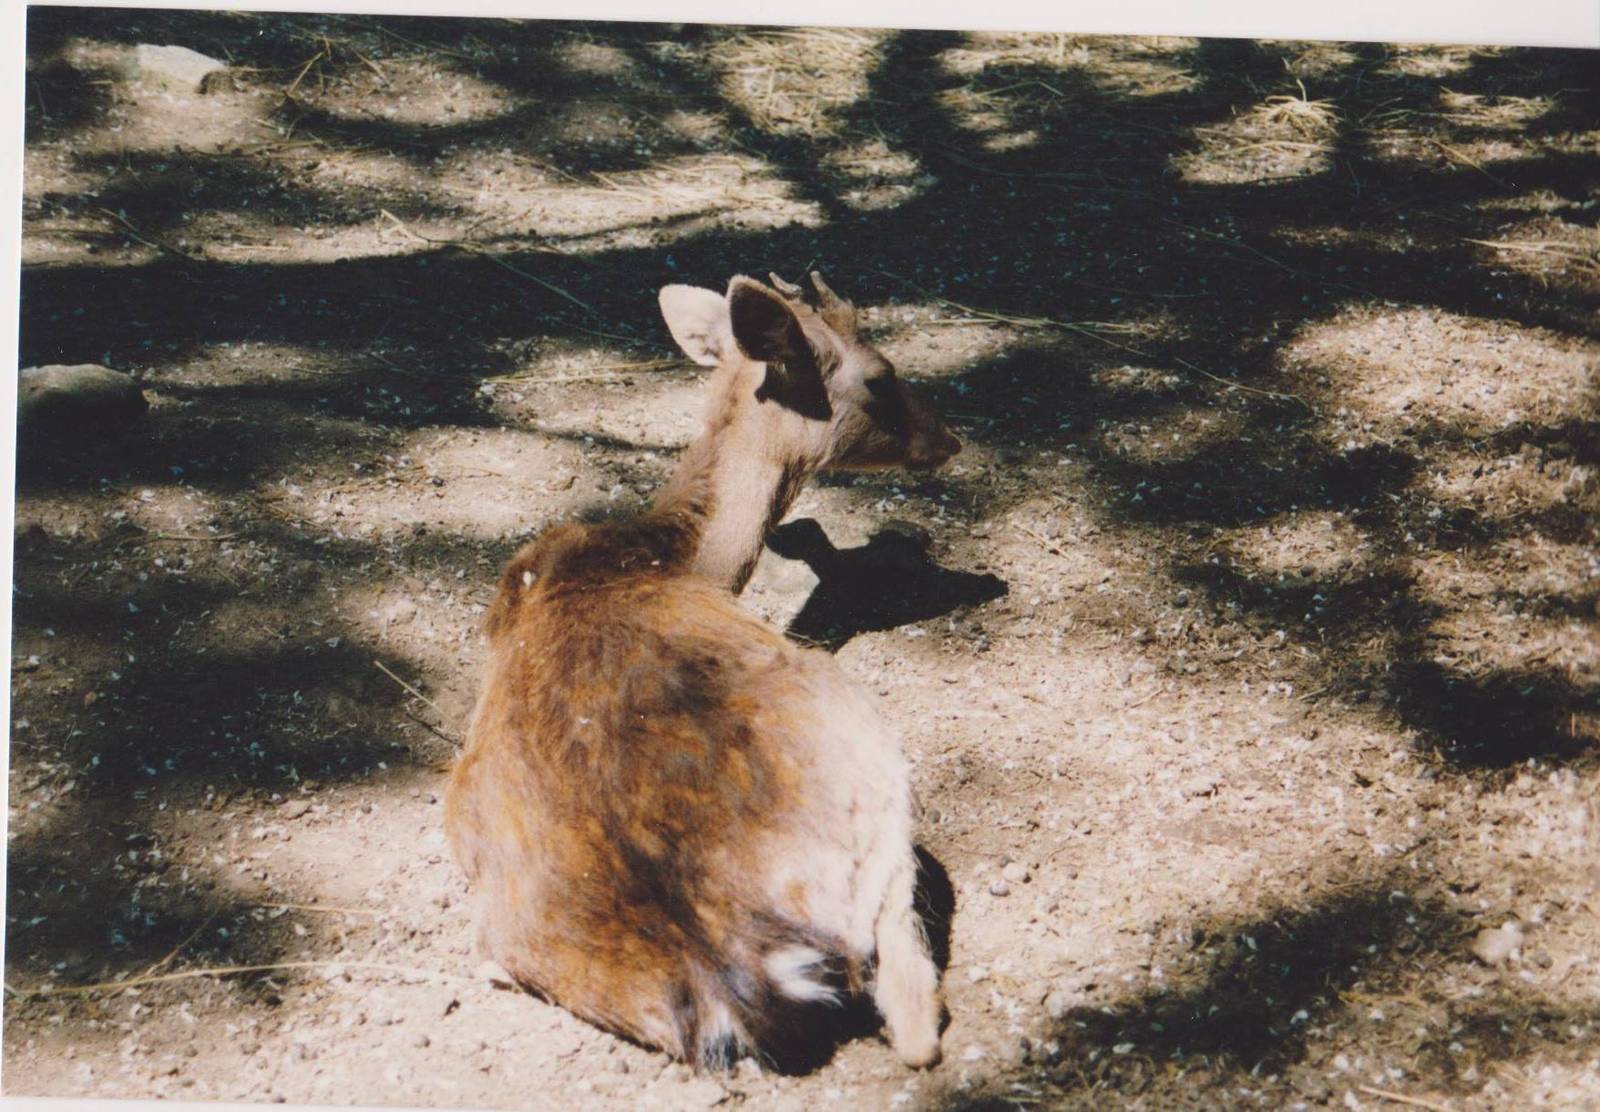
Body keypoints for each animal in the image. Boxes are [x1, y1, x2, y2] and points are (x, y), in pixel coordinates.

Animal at [444, 272, 962, 1072]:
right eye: (881, 376)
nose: (951, 438)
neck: (672, 555)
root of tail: (736, 967)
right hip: (878, 777)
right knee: (913, 1020)